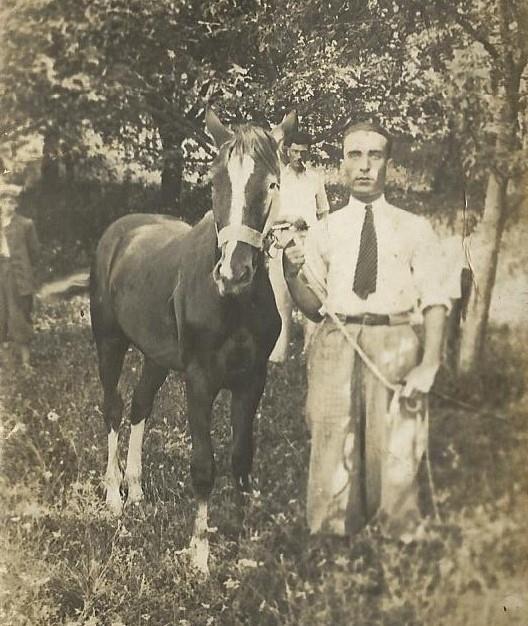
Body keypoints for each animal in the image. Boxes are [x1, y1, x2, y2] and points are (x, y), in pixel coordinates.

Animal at [90, 108, 296, 572]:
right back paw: (114, 494)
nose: (233, 273)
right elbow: (204, 466)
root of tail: (119, 231)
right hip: (109, 344)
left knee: (139, 407)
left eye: (272, 184)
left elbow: (241, 459)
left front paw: (241, 549)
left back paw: (137, 489)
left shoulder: (251, 382)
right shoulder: (200, 381)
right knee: (113, 408)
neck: (233, 304)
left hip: (156, 358)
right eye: (215, 181)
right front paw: (200, 555)